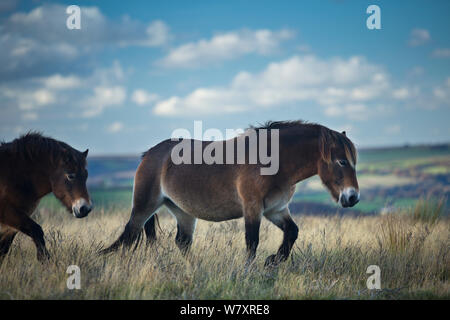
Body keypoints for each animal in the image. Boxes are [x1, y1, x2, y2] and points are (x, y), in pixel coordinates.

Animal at [0, 132, 92, 260]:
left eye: (86, 175)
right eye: (70, 176)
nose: (85, 209)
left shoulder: (10, 227)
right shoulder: (9, 213)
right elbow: (37, 231)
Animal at [102, 121, 358, 266]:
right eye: (342, 161)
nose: (353, 197)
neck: (274, 161)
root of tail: (149, 154)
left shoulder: (276, 210)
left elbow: (292, 232)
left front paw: (272, 262)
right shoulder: (253, 208)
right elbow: (252, 243)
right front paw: (250, 271)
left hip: (183, 212)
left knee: (182, 243)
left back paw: (195, 269)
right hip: (144, 206)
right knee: (128, 235)